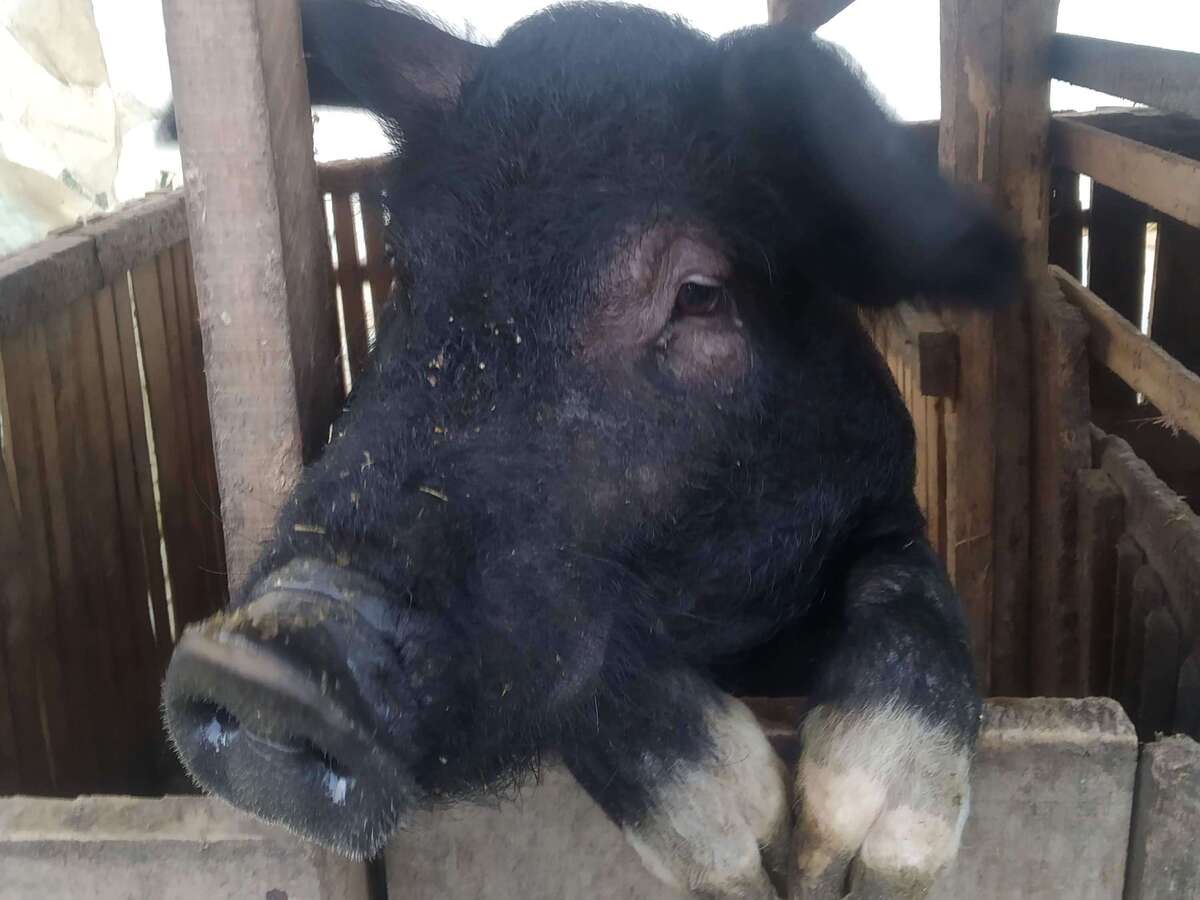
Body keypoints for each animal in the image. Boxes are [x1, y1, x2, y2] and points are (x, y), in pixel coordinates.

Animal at [162, 2, 1017, 898]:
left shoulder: (881, 494)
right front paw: (743, 858)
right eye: (405, 261)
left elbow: (914, 593)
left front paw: (856, 865)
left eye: (700, 295)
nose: (288, 636)